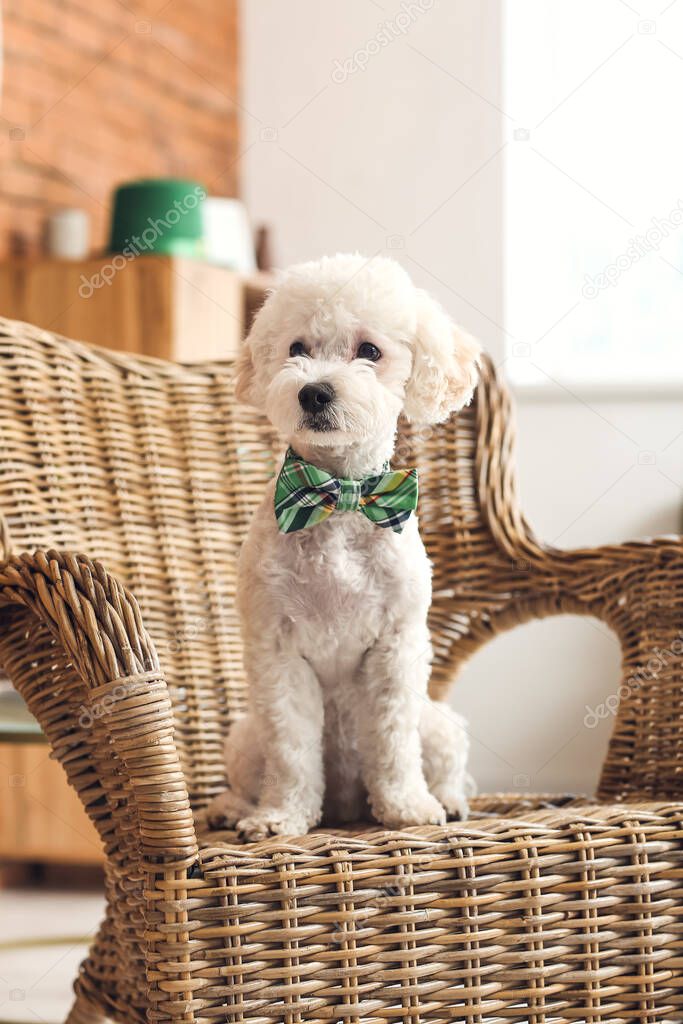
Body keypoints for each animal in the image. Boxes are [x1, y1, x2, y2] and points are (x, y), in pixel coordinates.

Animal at [208, 251, 481, 835]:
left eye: (370, 351)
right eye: (296, 349)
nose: (314, 391)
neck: (339, 499)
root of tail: (346, 805)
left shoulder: (396, 649)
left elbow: (394, 743)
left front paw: (407, 807)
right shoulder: (277, 651)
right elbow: (291, 750)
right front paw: (279, 817)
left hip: (439, 726)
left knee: (445, 763)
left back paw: (446, 800)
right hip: (245, 737)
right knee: (248, 775)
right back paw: (232, 808)